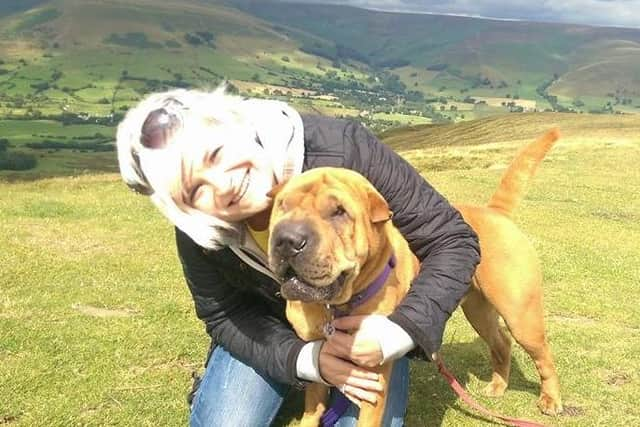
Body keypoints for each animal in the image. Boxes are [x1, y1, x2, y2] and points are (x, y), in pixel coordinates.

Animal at [268, 131, 564, 427]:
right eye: (283, 205)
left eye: (339, 211)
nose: (287, 239)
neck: (337, 307)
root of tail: (494, 211)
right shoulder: (318, 358)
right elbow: (313, 408)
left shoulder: (372, 373)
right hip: (478, 311)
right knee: (501, 341)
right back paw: (498, 385)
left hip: (521, 315)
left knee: (543, 356)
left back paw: (551, 400)